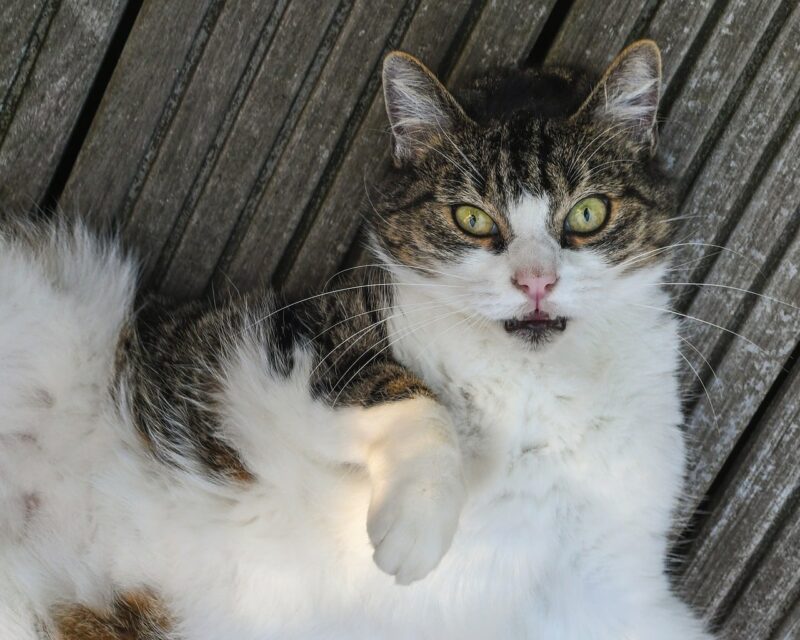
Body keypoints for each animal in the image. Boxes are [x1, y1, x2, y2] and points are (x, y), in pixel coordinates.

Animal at [0, 41, 712, 640]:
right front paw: (419, 526)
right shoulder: (290, 342)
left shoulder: (615, 584)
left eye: (589, 213)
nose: (536, 280)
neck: (534, 388)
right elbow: (411, 394)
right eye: (471, 218)